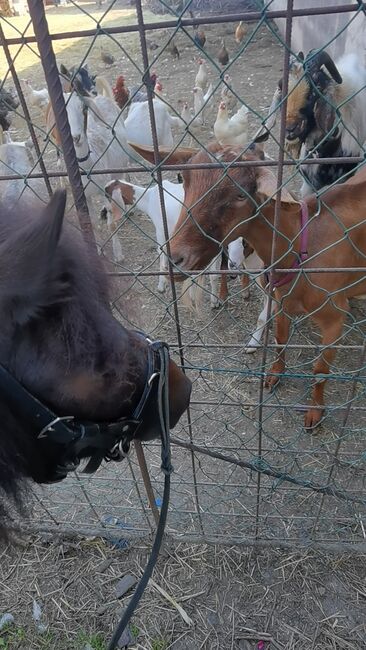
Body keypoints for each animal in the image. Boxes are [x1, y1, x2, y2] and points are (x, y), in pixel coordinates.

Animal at [129, 139, 366, 428]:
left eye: (242, 194)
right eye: (184, 180)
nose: (176, 260)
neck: (301, 243)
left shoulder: (334, 317)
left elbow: (320, 369)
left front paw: (314, 413)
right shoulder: (282, 301)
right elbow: (280, 339)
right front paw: (273, 375)